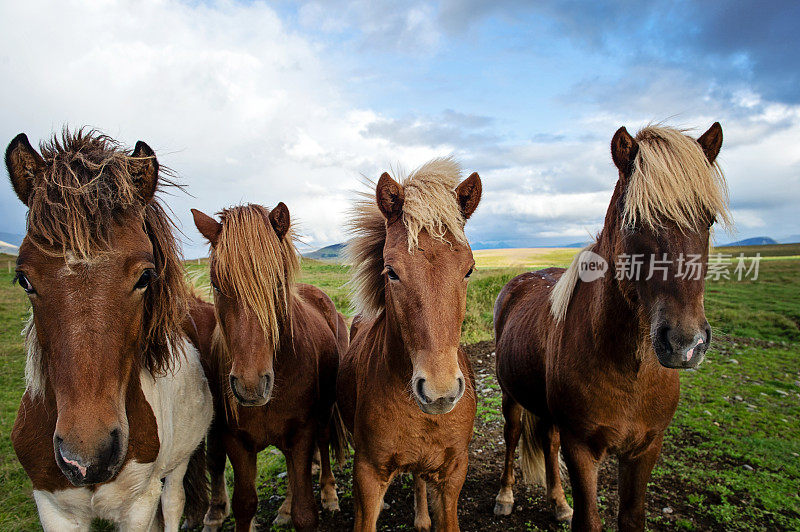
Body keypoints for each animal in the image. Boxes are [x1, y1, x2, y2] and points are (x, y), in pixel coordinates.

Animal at [7, 130, 212, 532]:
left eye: (145, 277)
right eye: (24, 279)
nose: (89, 457)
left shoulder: (139, 503)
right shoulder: (52, 506)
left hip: (177, 465)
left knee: (174, 503)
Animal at [194, 204, 350, 532]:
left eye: (277, 282)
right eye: (216, 284)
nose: (250, 385)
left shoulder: (302, 433)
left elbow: (306, 511)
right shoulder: (235, 441)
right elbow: (245, 504)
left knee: (323, 441)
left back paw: (329, 494)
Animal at [490, 122, 728, 528]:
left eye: (708, 220)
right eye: (634, 221)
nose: (685, 344)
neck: (629, 371)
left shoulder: (646, 448)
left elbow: (631, 517)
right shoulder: (582, 448)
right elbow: (589, 519)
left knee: (548, 442)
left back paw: (558, 502)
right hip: (511, 395)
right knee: (512, 434)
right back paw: (505, 496)